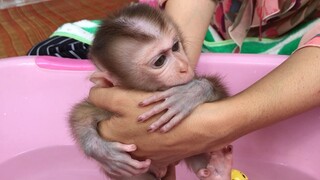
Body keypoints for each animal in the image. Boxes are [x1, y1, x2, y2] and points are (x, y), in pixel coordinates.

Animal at [69, 3, 231, 180]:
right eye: (160, 61)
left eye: (175, 47)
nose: (184, 66)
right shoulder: (104, 105)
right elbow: (81, 113)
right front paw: (102, 152)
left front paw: (190, 93)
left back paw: (219, 170)